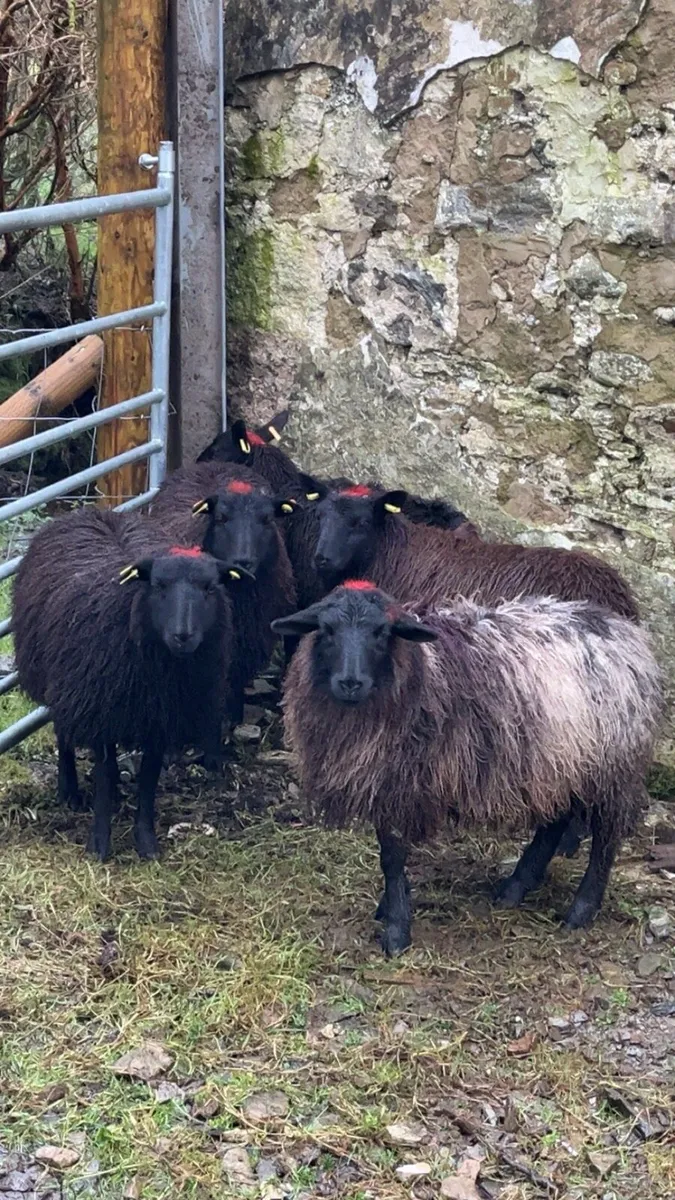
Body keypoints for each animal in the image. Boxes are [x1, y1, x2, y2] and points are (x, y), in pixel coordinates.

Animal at [13, 508, 235, 861]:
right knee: (63, 732)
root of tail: (94, 512)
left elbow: (148, 780)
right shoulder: (97, 703)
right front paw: (99, 847)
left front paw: (146, 844)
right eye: (158, 585)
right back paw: (69, 789)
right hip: (64, 683)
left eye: (210, 587)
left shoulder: (159, 718)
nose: (183, 635)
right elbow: (102, 780)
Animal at [273, 582, 662, 955]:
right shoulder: (386, 782)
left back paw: (580, 910)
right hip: (561, 761)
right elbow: (389, 855)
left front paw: (396, 929)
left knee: (605, 840)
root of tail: (626, 632)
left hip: (612, 766)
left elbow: (392, 857)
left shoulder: (401, 782)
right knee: (555, 821)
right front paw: (390, 908)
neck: (416, 669)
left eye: (381, 632)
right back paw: (516, 886)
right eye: (327, 630)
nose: (351, 683)